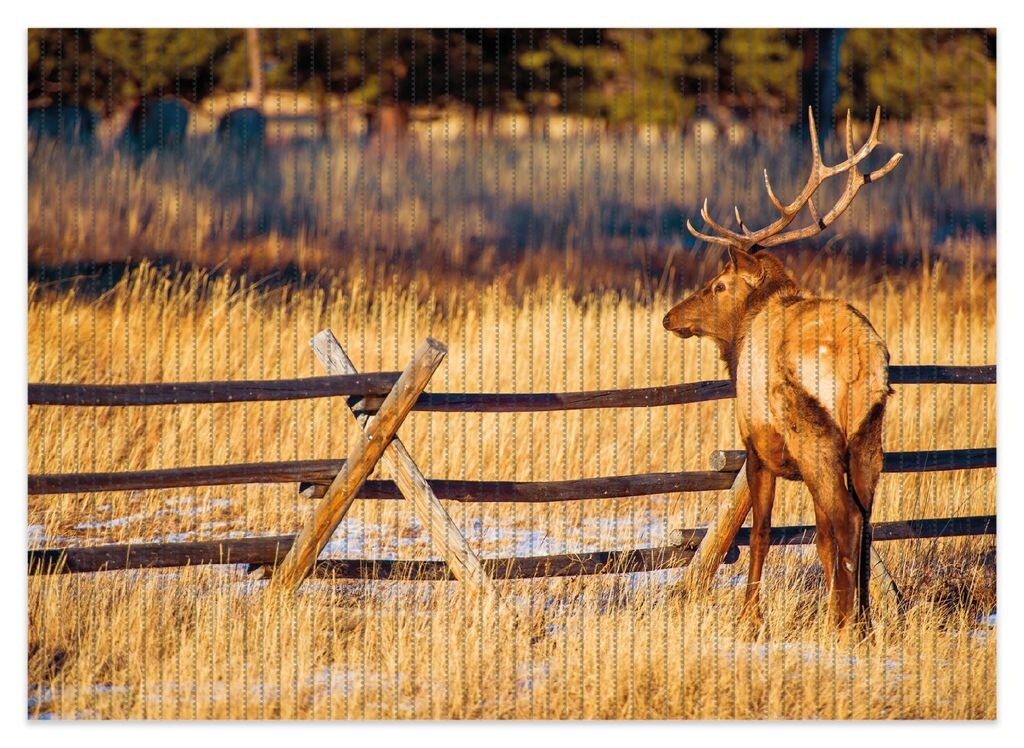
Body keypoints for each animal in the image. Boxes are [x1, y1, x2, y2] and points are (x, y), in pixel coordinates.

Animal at [663, 109, 905, 622]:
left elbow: (761, 532)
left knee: (846, 518)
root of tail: (859, 364)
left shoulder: (756, 445)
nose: (670, 316)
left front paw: (749, 617)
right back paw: (864, 621)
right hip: (869, 435)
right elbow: (820, 540)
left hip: (811, 432)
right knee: (865, 519)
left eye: (718, 285)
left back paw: (841, 622)